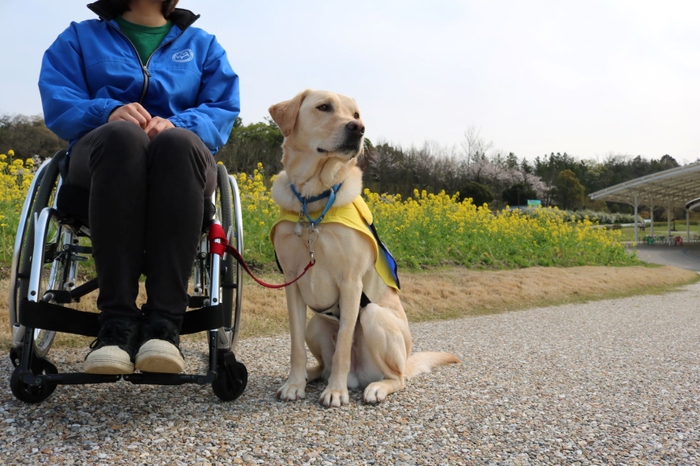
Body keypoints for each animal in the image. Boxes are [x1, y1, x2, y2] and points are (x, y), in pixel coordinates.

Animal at [268, 89, 460, 406]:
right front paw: (294, 383)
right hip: (316, 324)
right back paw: (310, 375)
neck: (313, 200)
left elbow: (344, 343)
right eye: (324, 107)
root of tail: (358, 376)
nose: (358, 128)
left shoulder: (351, 283)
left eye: (356, 115)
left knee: (398, 377)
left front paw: (335, 392)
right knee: (323, 364)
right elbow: (295, 344)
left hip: (374, 317)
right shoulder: (292, 281)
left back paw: (374, 387)